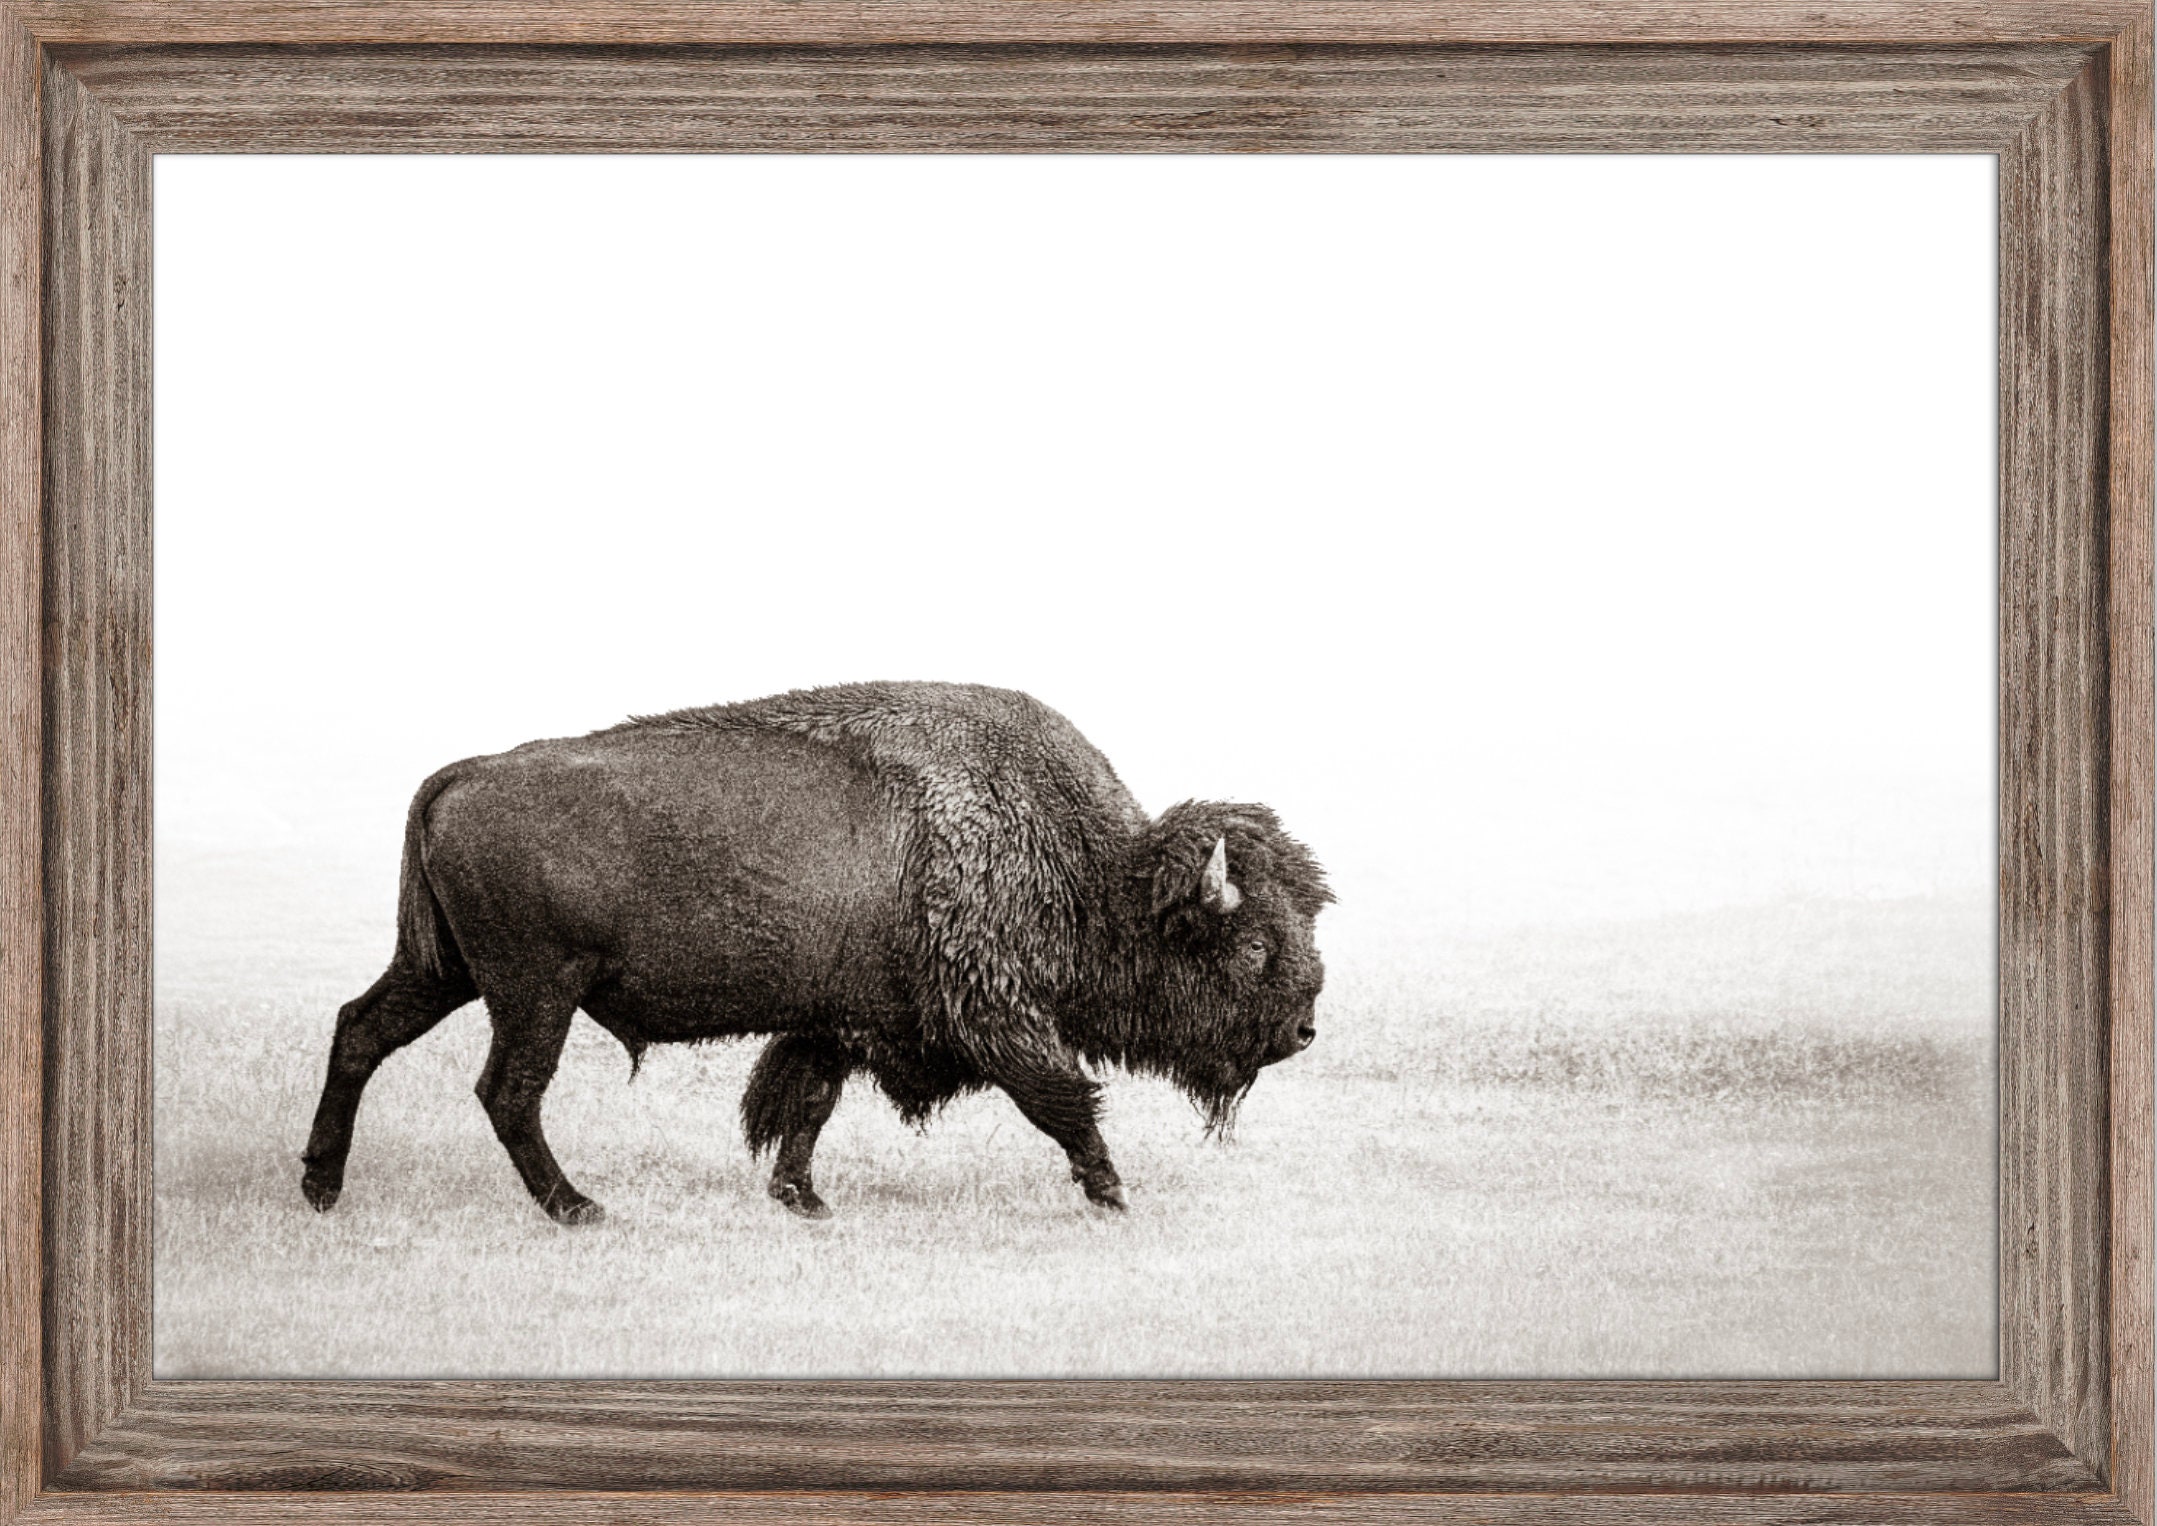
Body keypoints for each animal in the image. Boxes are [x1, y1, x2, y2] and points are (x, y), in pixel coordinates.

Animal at [301, 681, 1331, 1224]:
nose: (1301, 1031)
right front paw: (1112, 1194)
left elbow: (803, 1105)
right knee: (507, 1090)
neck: (1088, 867)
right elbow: (1062, 1099)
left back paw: (320, 1187)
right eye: (1248, 945)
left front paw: (801, 1199)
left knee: (360, 1031)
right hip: (533, 988)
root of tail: (463, 773)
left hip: (444, 971)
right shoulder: (998, 1016)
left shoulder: (837, 1020)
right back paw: (575, 1208)